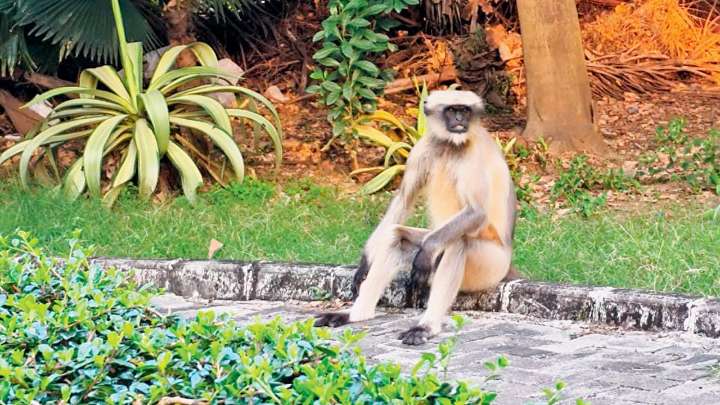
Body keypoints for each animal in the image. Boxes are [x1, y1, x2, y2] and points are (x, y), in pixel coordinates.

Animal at [315, 90, 519, 345]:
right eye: (452, 110)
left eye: (465, 110)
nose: (459, 120)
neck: (449, 145)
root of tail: (508, 262)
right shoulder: (423, 147)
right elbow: (404, 199)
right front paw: (365, 262)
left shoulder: (472, 154)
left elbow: (476, 212)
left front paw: (427, 253)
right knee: (396, 235)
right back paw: (355, 315)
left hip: (490, 266)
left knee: (457, 243)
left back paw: (426, 326)